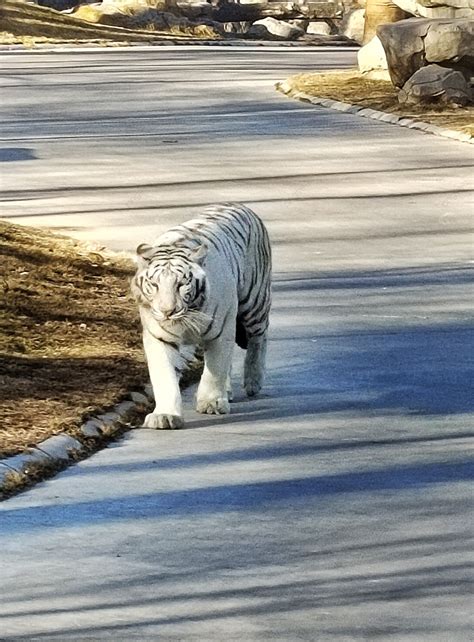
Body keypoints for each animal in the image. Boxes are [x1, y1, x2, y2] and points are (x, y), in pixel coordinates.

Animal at [131, 202, 272, 428]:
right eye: (154, 285)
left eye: (181, 285)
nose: (167, 311)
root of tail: (238, 205)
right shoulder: (159, 337)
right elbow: (165, 375)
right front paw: (165, 415)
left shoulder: (221, 331)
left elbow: (215, 368)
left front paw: (212, 403)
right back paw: (229, 391)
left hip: (254, 301)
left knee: (259, 338)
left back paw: (253, 381)